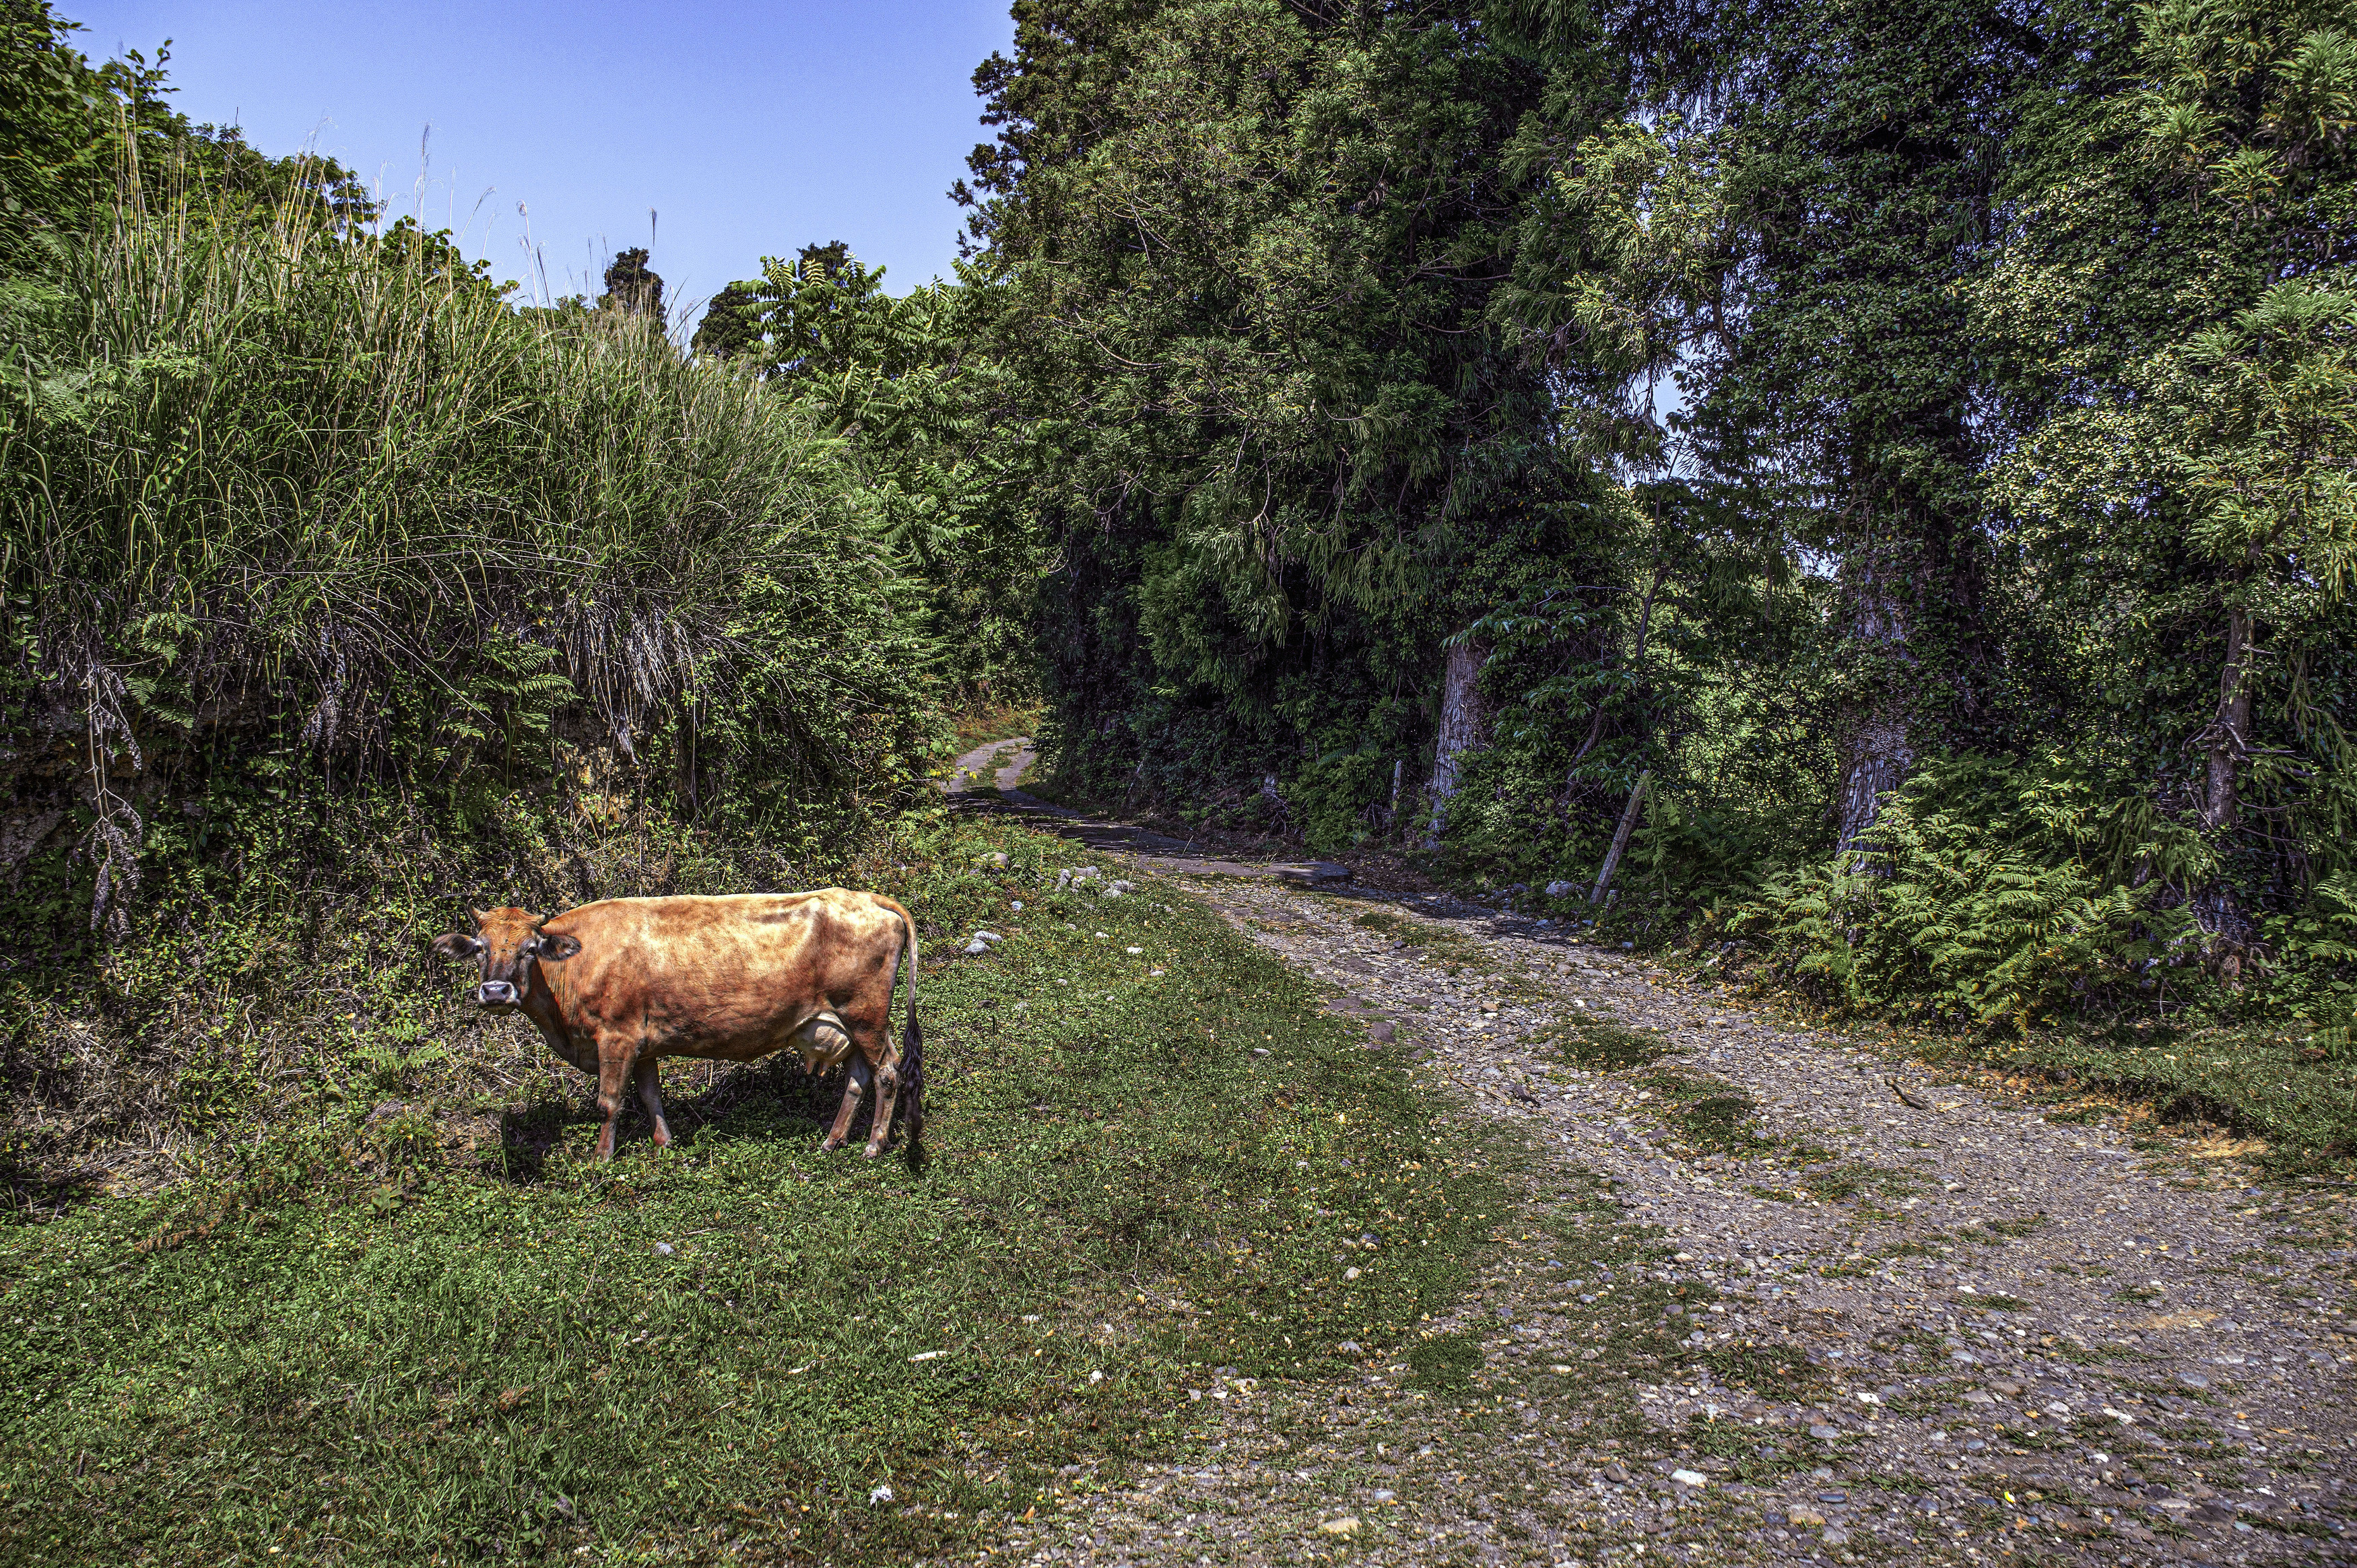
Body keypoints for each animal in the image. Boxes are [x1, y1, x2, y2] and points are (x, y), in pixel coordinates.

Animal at [431, 886, 919, 1155]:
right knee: (858, 1077)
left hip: (866, 1017)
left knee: (887, 1073)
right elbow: (651, 1095)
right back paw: (834, 1140)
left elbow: (610, 1101)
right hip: (848, 1025)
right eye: (479, 948)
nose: (497, 991)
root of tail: (865, 897)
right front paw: (665, 1143)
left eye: (529, 949)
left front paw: (601, 1160)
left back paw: (874, 1144)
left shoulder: (617, 1034)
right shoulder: (643, 1042)